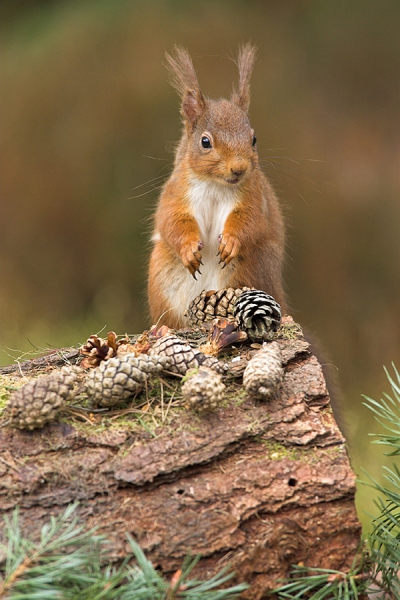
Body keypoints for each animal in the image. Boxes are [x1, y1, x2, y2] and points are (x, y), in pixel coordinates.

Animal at [147, 46, 284, 328]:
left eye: (254, 139)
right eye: (205, 142)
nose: (239, 168)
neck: (215, 185)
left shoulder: (254, 196)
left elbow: (250, 221)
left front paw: (231, 241)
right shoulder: (176, 193)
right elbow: (171, 220)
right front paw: (188, 249)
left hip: (252, 267)